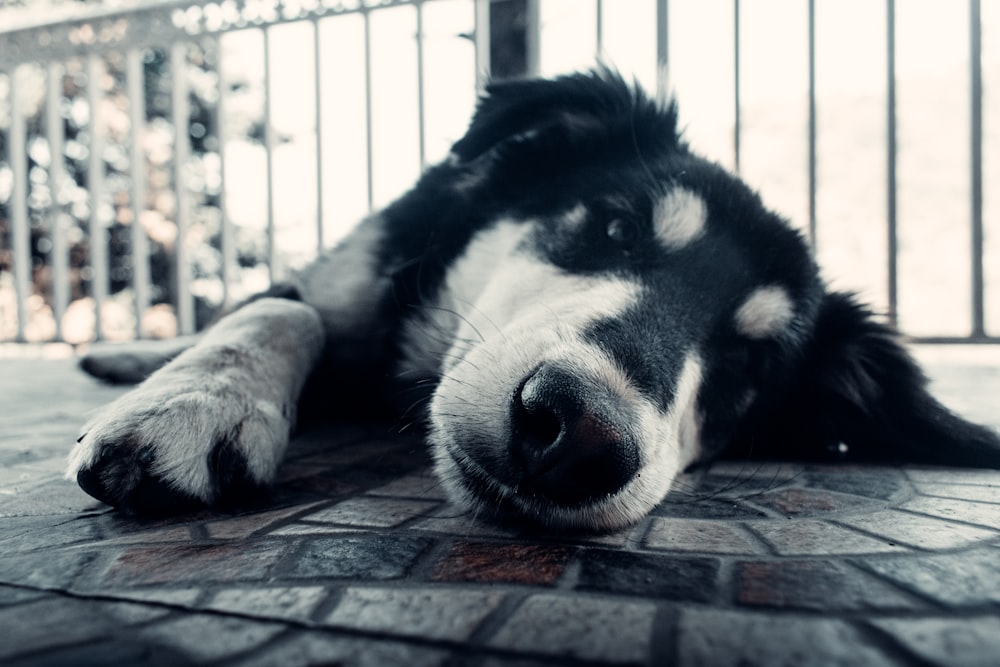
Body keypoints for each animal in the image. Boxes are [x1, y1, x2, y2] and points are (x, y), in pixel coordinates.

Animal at [68, 70, 1000, 532]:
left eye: (751, 363)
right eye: (618, 227)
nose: (580, 437)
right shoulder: (341, 279)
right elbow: (279, 311)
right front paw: (196, 402)